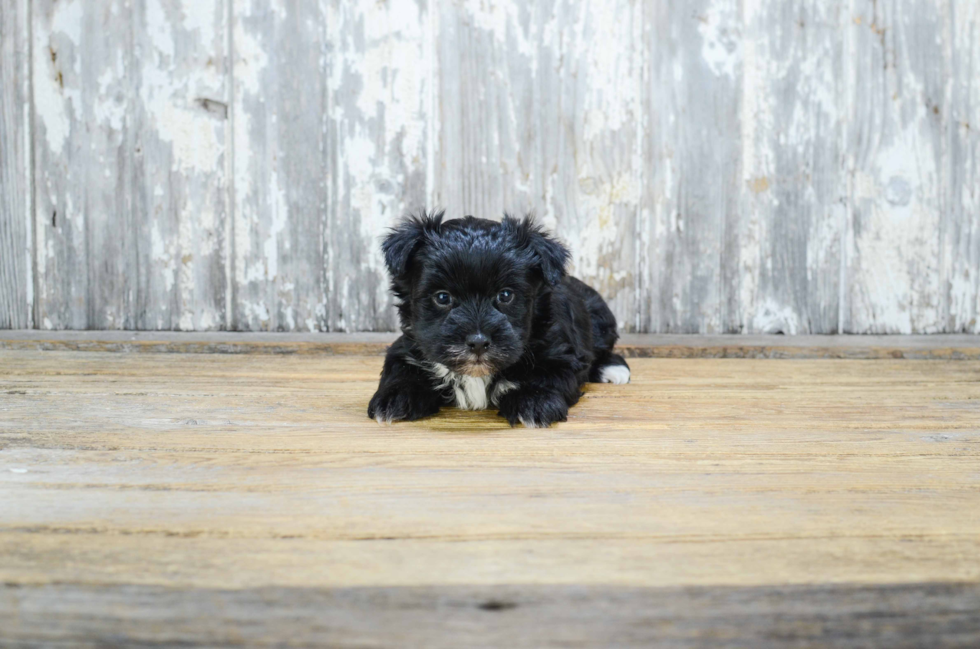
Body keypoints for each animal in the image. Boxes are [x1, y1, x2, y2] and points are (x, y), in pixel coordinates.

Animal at [366, 210, 628, 428]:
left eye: (505, 295)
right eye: (442, 297)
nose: (478, 342)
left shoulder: (561, 353)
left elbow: (549, 376)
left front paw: (532, 401)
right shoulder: (407, 346)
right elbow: (400, 368)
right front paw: (396, 397)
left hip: (600, 318)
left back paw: (612, 368)